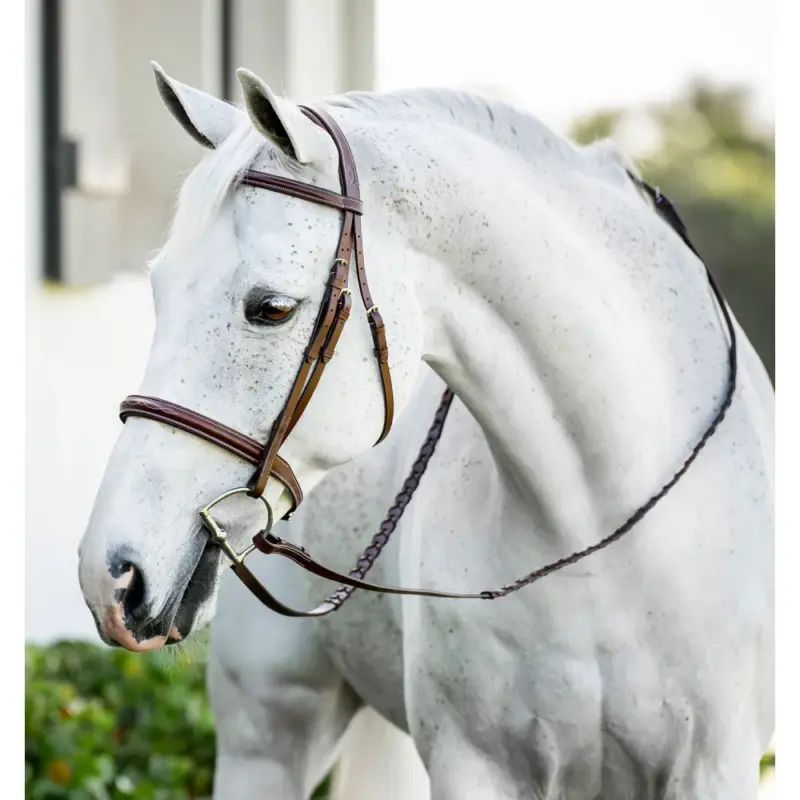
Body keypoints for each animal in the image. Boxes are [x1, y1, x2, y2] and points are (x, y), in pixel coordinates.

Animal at [77, 63, 774, 799]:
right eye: (158, 290)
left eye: (271, 309)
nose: (112, 574)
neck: (599, 537)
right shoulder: (476, 767)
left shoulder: (715, 771)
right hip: (265, 738)